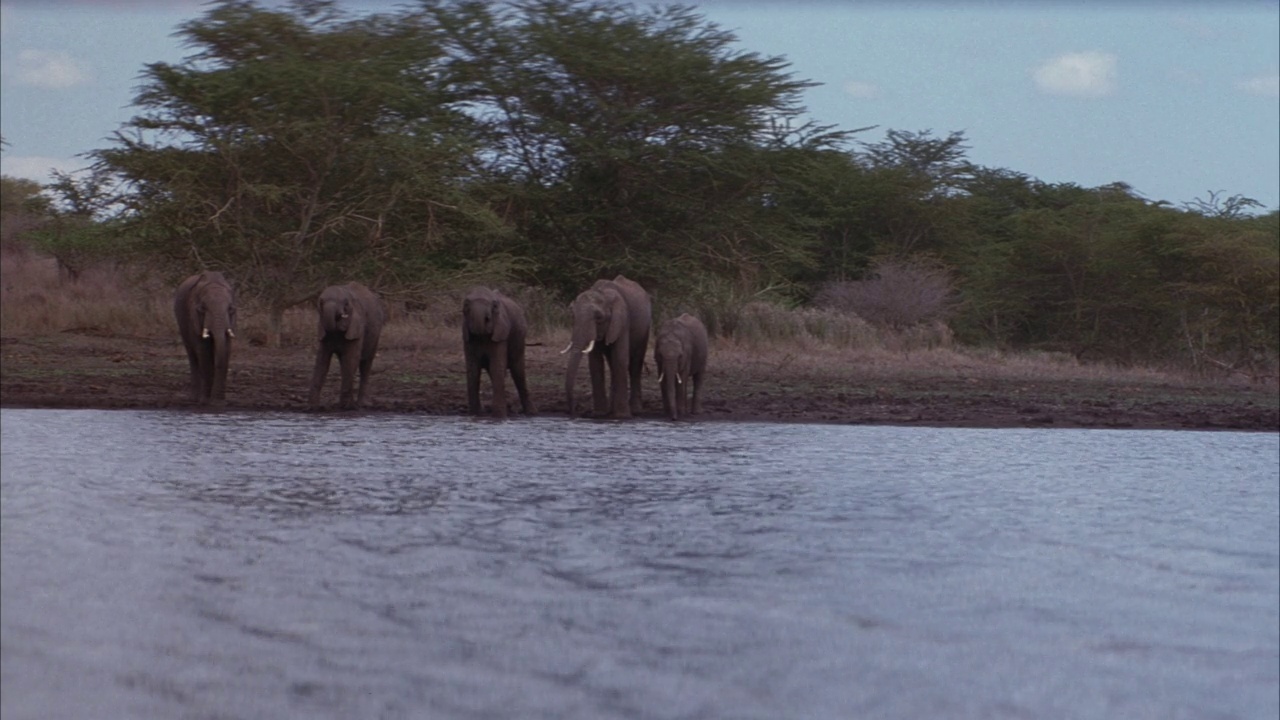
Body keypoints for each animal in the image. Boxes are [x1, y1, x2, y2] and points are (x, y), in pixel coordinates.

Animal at [174, 269, 236, 404]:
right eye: (202, 308)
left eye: (230, 309)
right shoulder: (192, 318)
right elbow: (203, 351)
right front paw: (207, 401)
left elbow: (227, 348)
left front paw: (219, 402)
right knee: (192, 355)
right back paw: (195, 398)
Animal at [308, 283, 384, 412]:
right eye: (320, 303)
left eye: (346, 304)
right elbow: (322, 361)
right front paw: (313, 408)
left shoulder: (357, 327)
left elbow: (351, 359)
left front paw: (346, 407)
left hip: (375, 335)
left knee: (365, 364)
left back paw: (362, 404)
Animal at [465, 285, 535, 417]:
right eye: (466, 305)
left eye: (494, 306)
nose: (486, 318)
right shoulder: (468, 338)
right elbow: (473, 369)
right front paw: (476, 414)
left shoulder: (501, 333)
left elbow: (496, 366)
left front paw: (499, 415)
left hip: (520, 338)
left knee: (518, 371)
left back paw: (531, 413)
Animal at [565, 275, 655, 420]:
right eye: (573, 316)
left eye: (598, 317)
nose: (573, 412)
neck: (603, 294)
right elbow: (595, 364)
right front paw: (599, 414)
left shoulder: (622, 320)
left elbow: (620, 359)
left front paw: (622, 416)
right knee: (612, 364)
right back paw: (611, 410)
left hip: (645, 329)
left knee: (635, 364)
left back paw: (635, 411)